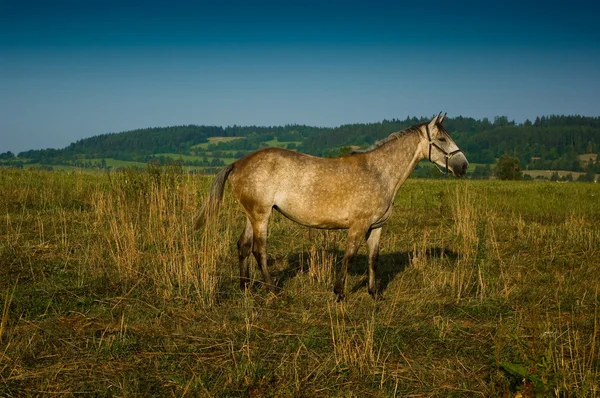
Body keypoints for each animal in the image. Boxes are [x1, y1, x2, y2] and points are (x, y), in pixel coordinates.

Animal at [196, 111, 468, 298]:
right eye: (442, 138)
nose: (463, 166)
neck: (379, 173)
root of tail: (238, 163)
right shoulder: (358, 226)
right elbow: (349, 257)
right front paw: (338, 292)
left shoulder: (376, 227)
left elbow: (373, 259)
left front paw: (374, 294)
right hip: (261, 215)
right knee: (258, 250)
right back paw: (273, 290)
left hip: (251, 214)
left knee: (243, 246)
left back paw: (245, 287)